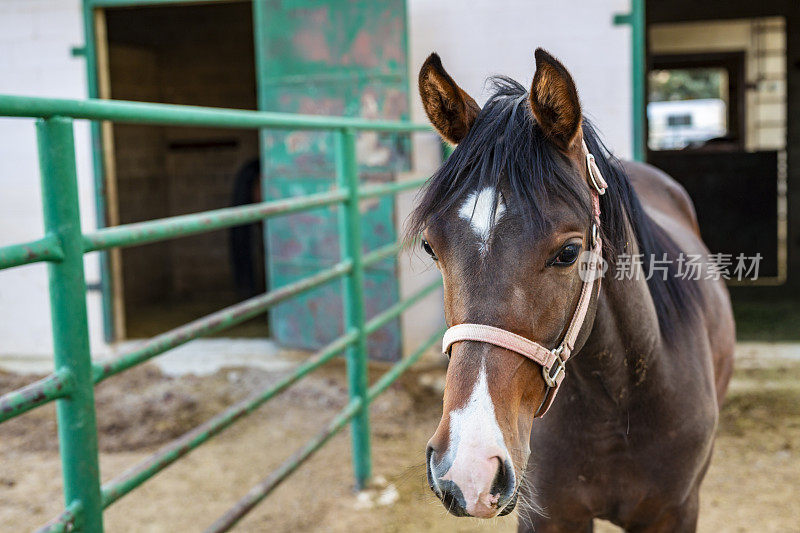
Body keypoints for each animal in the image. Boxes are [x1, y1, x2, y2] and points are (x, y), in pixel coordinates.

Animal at [410, 47, 736, 528]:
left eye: (568, 252)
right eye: (431, 246)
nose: (470, 469)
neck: (616, 404)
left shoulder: (675, 512)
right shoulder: (550, 516)